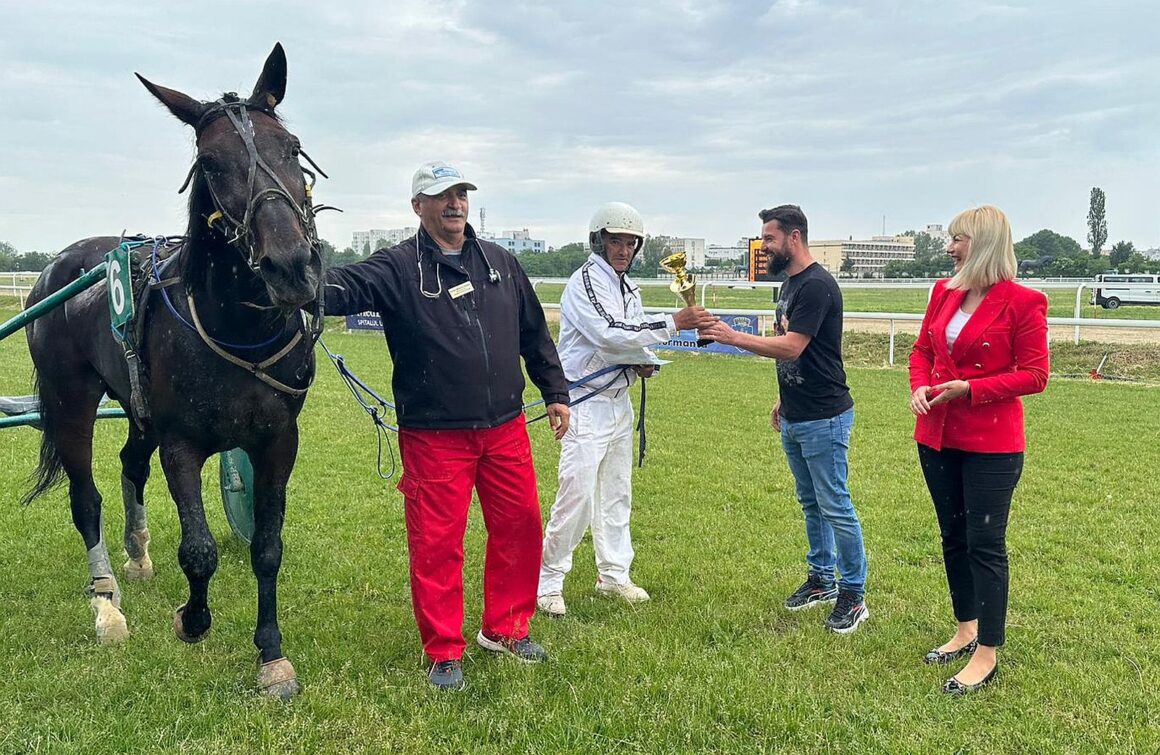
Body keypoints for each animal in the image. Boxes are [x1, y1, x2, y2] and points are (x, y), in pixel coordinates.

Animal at [23, 44, 322, 700]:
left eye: (291, 148)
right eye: (210, 163)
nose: (292, 266)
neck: (235, 325)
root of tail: (58, 264)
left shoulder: (277, 440)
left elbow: (267, 547)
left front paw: (271, 655)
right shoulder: (180, 441)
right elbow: (200, 550)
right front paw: (192, 618)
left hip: (136, 406)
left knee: (130, 462)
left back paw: (136, 555)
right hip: (70, 400)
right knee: (85, 498)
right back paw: (106, 601)